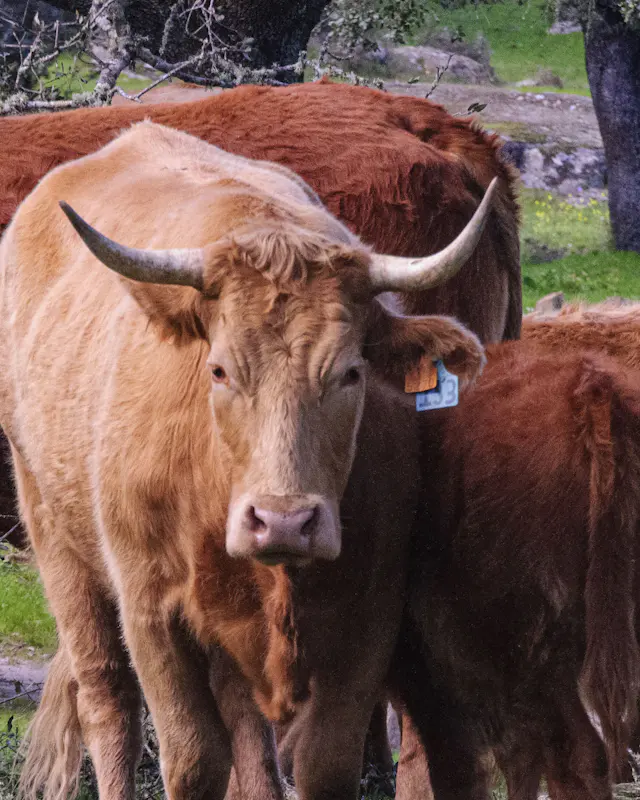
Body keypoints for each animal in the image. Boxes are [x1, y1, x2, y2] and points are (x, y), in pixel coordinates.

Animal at [0, 120, 491, 800]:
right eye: (220, 370)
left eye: (351, 372)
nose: (283, 521)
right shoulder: (151, 610)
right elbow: (192, 758)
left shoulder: (368, 616)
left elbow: (323, 762)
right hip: (58, 543)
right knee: (109, 700)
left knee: (245, 727)